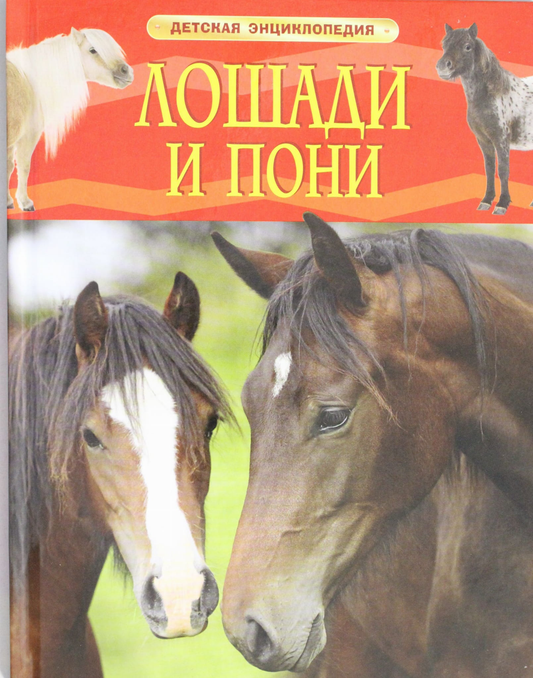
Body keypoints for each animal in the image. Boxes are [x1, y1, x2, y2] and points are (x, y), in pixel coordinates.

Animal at [7, 28, 134, 211]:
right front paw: (24, 202)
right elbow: (23, 166)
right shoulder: (27, 136)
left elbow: (10, 167)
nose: (127, 71)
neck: (28, 81)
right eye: (93, 49)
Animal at [436, 23, 533, 216]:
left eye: (467, 46)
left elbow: (503, 170)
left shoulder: (501, 140)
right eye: (444, 45)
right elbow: (489, 169)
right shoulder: (484, 140)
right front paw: (486, 201)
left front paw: (502, 204)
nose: (443, 67)